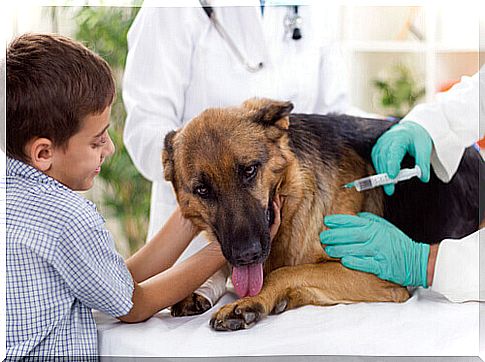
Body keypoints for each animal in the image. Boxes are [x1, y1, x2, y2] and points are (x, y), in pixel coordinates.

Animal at [162, 98, 480, 330]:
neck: (294, 197)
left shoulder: (380, 279)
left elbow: (285, 272)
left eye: (249, 170)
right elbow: (225, 267)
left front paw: (252, 301)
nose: (246, 255)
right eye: (202, 190)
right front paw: (202, 288)